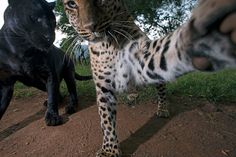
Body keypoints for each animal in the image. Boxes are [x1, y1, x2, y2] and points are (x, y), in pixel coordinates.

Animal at [62, 0, 236, 156]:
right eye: (71, 3)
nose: (90, 27)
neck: (108, 44)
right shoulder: (103, 83)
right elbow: (106, 118)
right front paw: (109, 150)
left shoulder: (146, 59)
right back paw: (132, 95)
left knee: (161, 91)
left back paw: (162, 109)